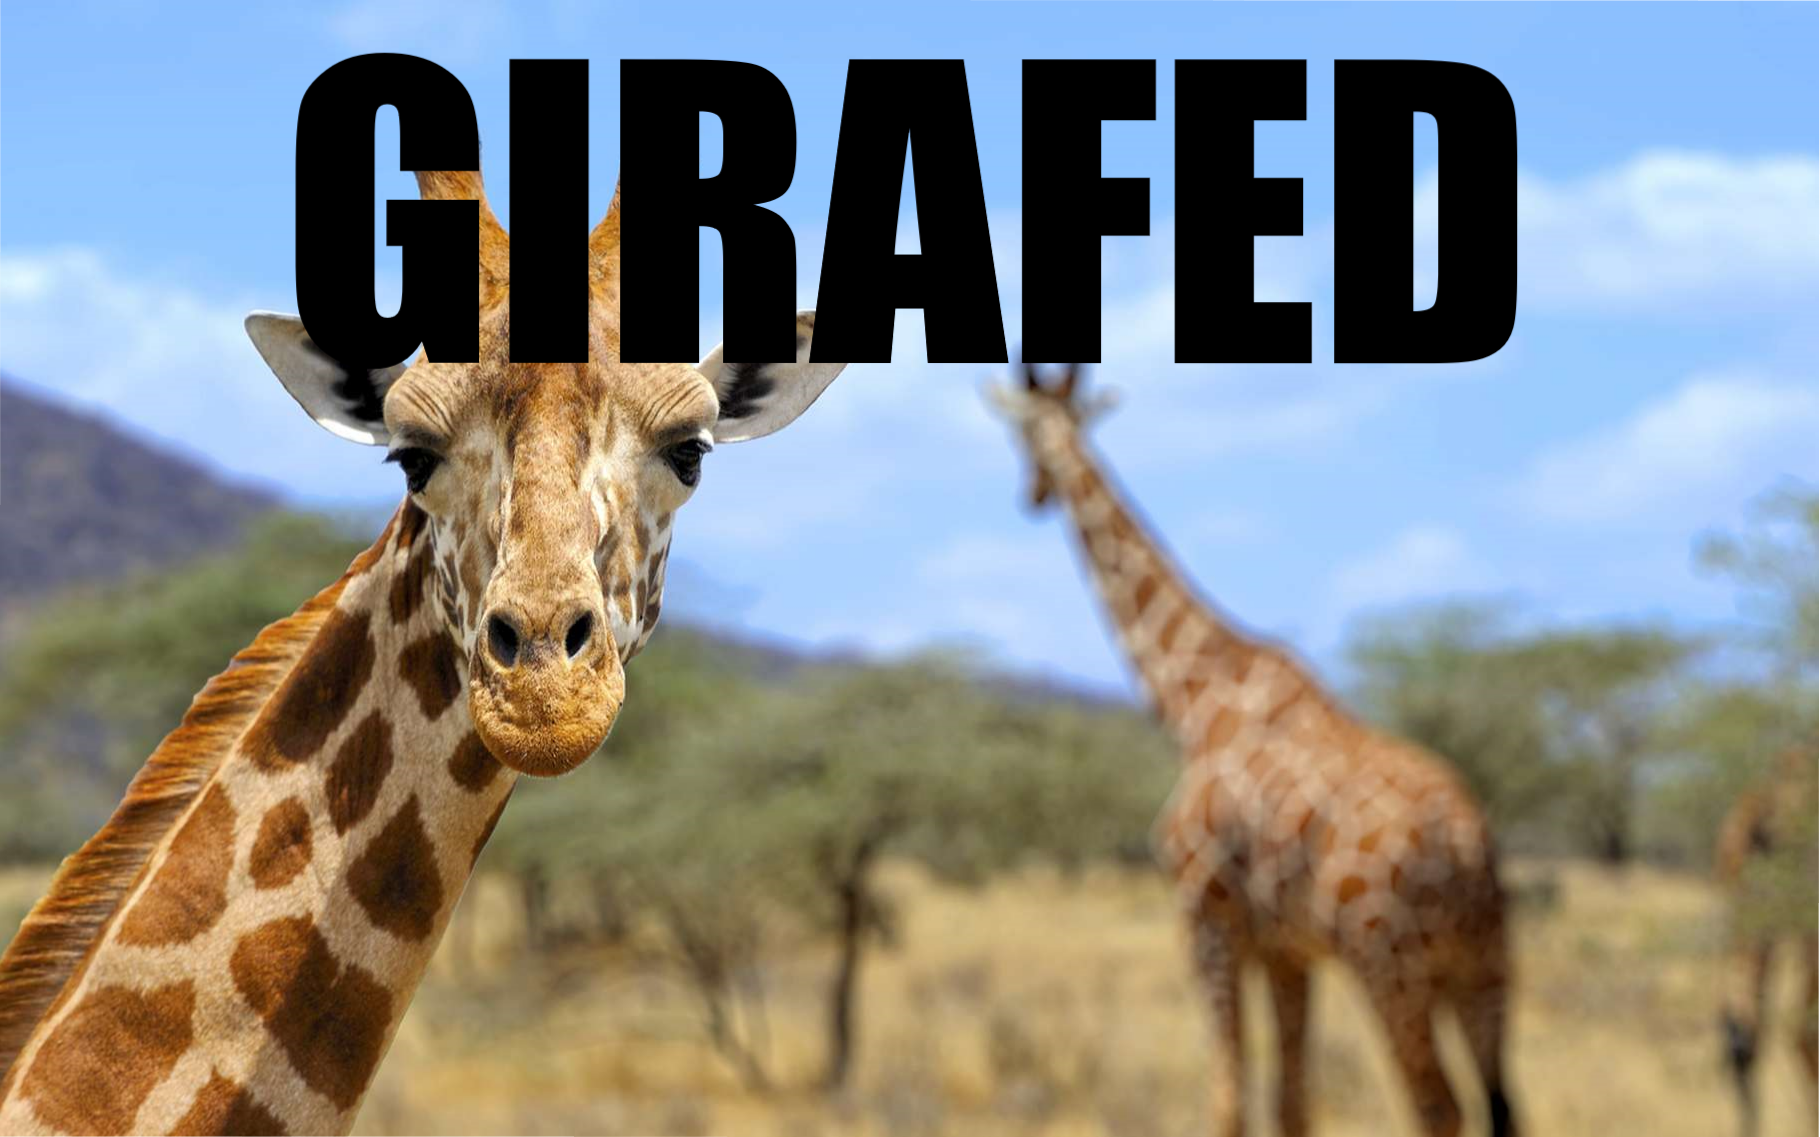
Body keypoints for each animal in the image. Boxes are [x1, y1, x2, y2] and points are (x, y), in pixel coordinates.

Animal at [986, 364, 1515, 1137]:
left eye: (1022, 432)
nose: (1031, 494)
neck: (1196, 701)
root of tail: (1470, 846)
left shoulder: (1207, 917)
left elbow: (1229, 1101)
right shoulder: (1285, 946)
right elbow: (1291, 1105)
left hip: (1389, 964)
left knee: (1437, 1108)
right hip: (1483, 967)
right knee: (1504, 1105)